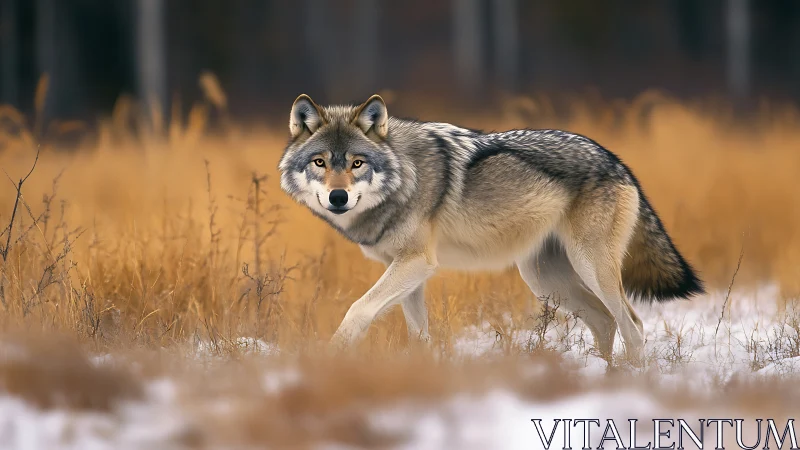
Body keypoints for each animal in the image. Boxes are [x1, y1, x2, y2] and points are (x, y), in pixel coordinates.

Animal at [278, 93, 704, 365]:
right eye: (319, 162)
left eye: (357, 163)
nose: (337, 197)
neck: (405, 177)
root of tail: (617, 160)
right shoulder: (407, 271)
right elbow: (419, 334)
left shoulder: (417, 263)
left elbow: (357, 310)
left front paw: (330, 358)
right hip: (544, 279)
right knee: (604, 321)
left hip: (589, 267)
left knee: (632, 324)